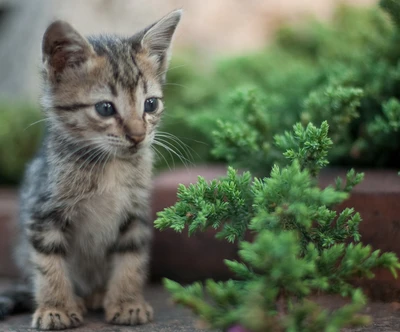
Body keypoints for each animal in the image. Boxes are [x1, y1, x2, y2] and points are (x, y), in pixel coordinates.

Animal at [0, 9, 183, 330]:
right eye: (105, 109)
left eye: (150, 104)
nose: (138, 136)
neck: (109, 165)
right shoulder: (43, 211)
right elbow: (48, 264)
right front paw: (56, 307)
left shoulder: (135, 212)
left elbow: (131, 259)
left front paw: (127, 302)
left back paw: (98, 295)